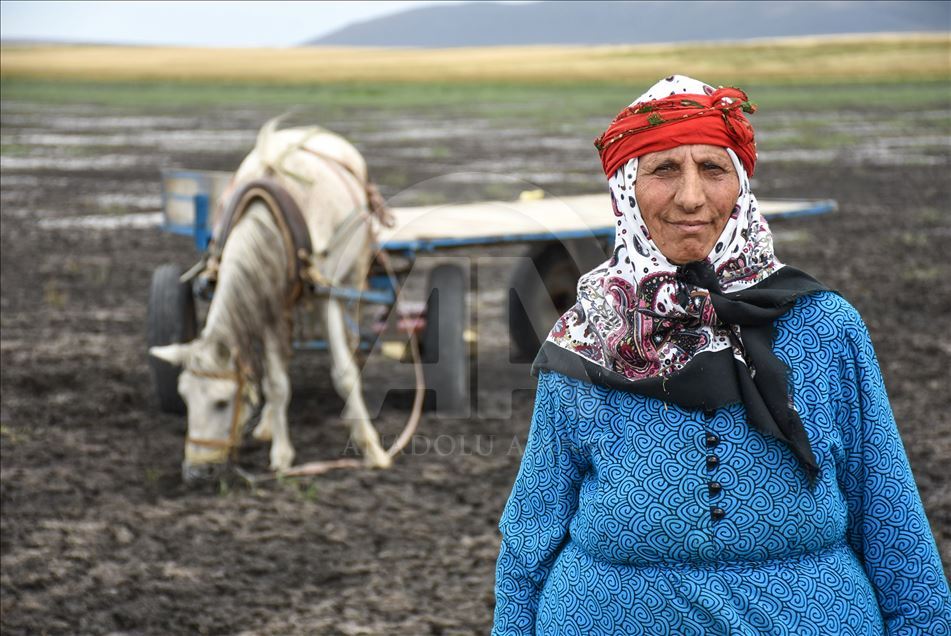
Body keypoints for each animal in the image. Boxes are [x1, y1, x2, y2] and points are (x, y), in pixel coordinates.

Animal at [148, 120, 390, 482]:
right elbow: (274, 382)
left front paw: (372, 449)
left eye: (222, 402)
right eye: (184, 397)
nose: (196, 472)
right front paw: (281, 452)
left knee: (352, 336)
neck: (272, 219)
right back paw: (266, 425)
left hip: (354, 273)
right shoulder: (267, 303)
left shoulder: (325, 299)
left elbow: (343, 374)